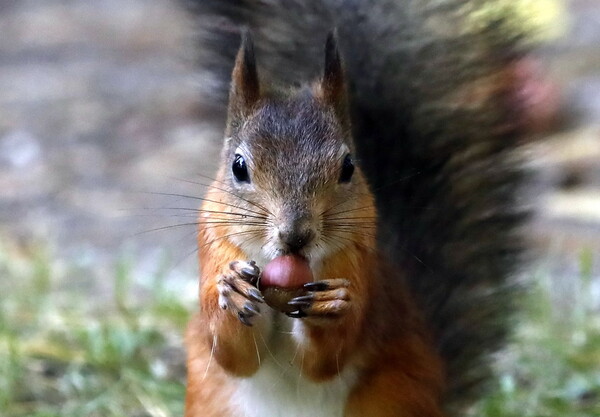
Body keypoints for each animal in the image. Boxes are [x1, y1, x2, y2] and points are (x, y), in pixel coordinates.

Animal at [182, 0, 528, 416]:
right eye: (238, 167)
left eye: (348, 167)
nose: (295, 235)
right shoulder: (214, 246)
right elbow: (233, 355)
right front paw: (231, 289)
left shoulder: (358, 267)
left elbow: (327, 357)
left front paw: (331, 306)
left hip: (389, 397)